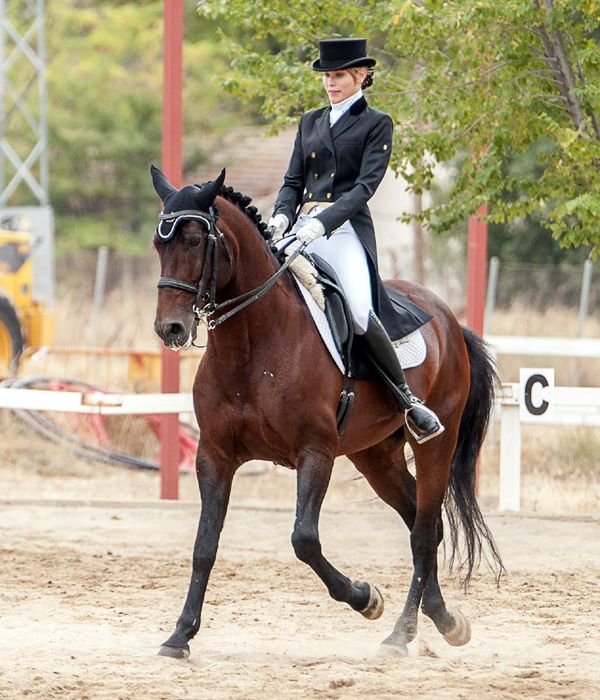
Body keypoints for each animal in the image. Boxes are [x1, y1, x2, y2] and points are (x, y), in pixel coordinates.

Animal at [151, 167, 506, 660]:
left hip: (437, 441)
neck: (252, 345)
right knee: (424, 525)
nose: (170, 328)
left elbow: (304, 539)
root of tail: (446, 317)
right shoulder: (214, 455)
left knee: (422, 530)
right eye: (158, 244)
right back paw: (441, 620)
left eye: (193, 240)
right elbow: (205, 545)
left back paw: (400, 632)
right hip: (375, 456)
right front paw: (180, 635)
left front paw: (366, 597)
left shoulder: (314, 453)